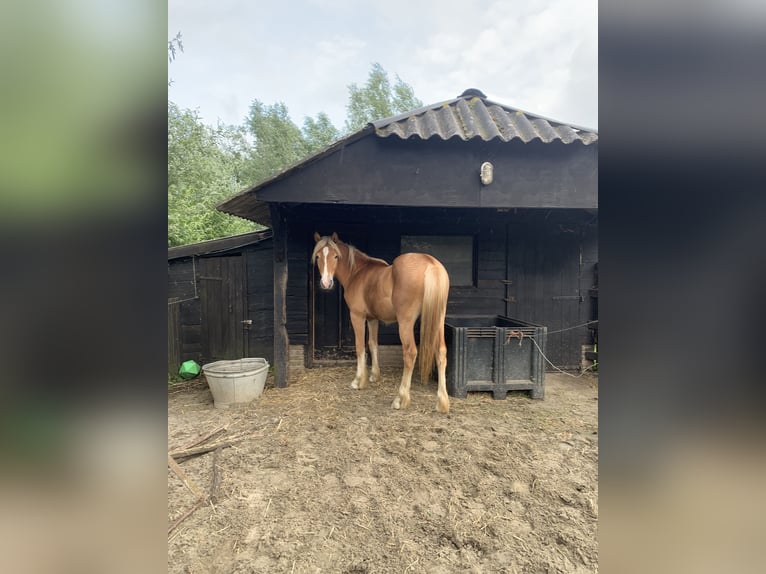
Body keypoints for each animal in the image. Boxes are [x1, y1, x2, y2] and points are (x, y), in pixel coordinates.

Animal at [312, 232, 452, 416]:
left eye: (336, 256)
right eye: (318, 256)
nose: (326, 283)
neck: (357, 273)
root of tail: (431, 264)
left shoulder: (357, 316)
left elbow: (360, 347)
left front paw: (359, 381)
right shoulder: (372, 319)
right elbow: (373, 344)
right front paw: (374, 376)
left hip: (405, 322)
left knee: (410, 353)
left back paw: (400, 399)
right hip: (438, 320)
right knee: (441, 352)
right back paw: (442, 402)